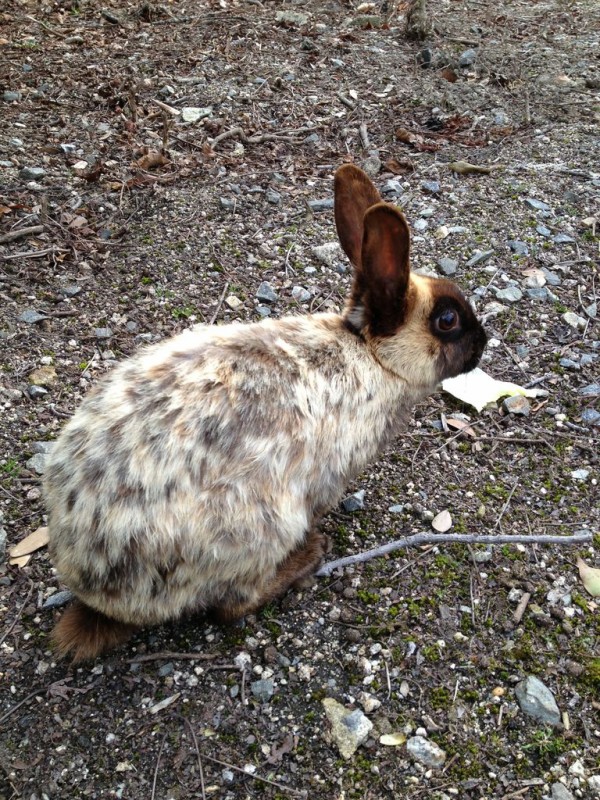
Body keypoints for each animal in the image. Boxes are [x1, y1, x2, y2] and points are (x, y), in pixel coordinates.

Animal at [44, 164, 486, 664]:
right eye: (447, 321)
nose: (484, 342)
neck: (371, 355)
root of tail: (101, 593)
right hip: (259, 529)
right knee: (230, 606)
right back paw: (308, 556)